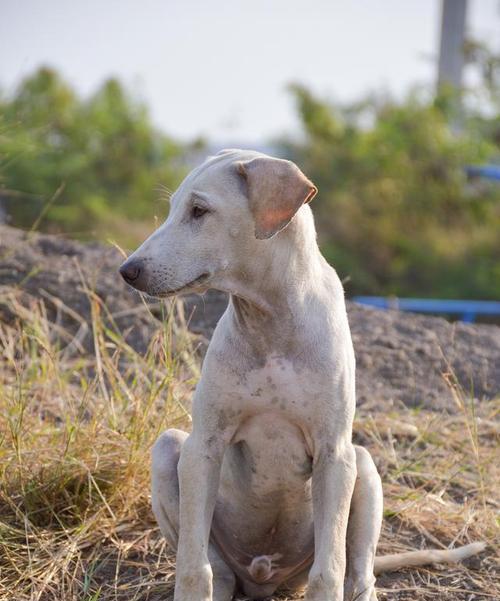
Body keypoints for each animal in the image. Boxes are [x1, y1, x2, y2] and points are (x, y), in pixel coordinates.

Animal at [120, 150, 484, 600]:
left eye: (199, 210)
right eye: (172, 208)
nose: (127, 270)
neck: (270, 321)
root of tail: (265, 576)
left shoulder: (334, 454)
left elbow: (329, 570)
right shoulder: (203, 446)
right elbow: (192, 566)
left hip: (362, 467)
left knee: (358, 571)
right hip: (171, 449)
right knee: (215, 566)